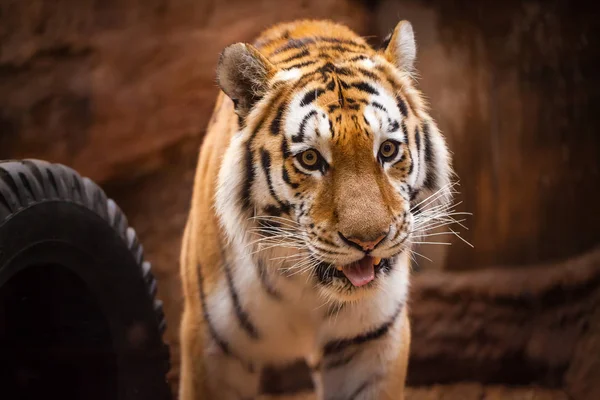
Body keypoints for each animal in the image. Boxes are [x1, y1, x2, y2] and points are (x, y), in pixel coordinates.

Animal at [180, 17, 452, 398]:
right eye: (310, 159)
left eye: (387, 150)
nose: (369, 242)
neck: (304, 287)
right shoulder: (212, 345)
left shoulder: (370, 339)